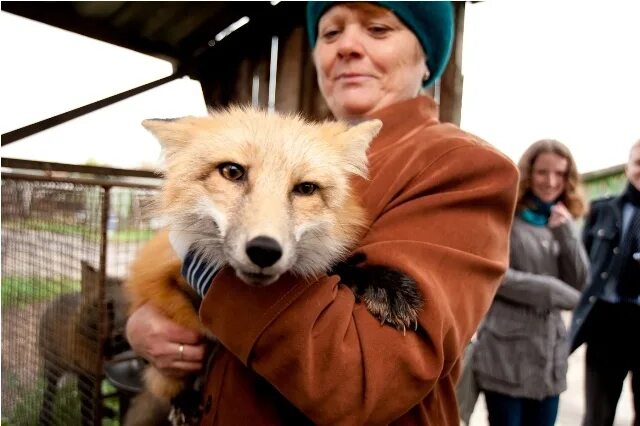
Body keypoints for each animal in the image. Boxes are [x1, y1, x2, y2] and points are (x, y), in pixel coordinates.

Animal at [125, 106, 424, 410]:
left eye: (306, 188)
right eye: (232, 171)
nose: (264, 250)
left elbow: (334, 267)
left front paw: (385, 283)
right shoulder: (163, 272)